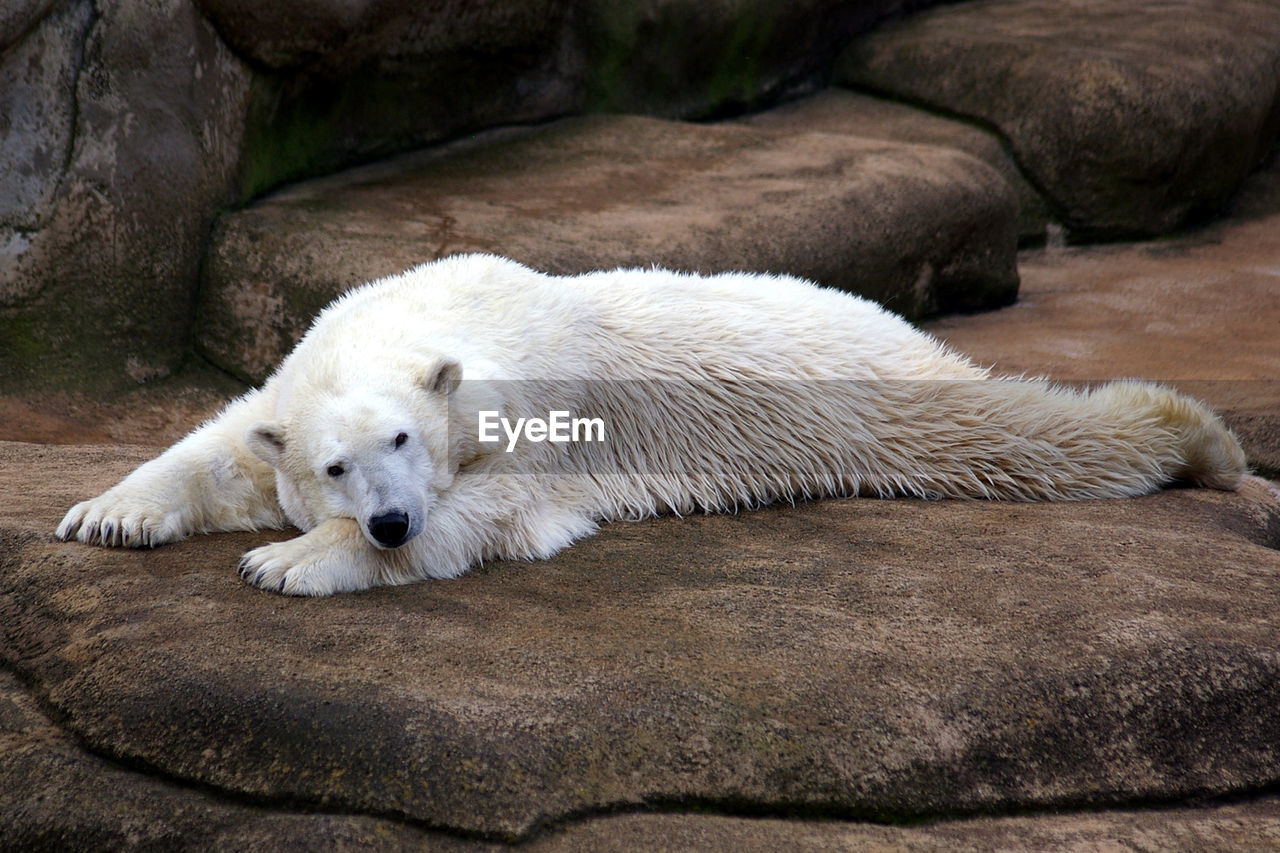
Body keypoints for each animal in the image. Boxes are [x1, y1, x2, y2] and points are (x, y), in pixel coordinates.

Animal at [55, 252, 1244, 594]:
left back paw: (1201, 438)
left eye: (402, 442)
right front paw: (107, 514)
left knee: (1012, 432)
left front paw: (292, 561)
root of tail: (893, 317)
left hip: (872, 391)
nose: (386, 521)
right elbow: (224, 444)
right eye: (335, 464)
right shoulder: (297, 379)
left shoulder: (544, 415)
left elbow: (497, 510)